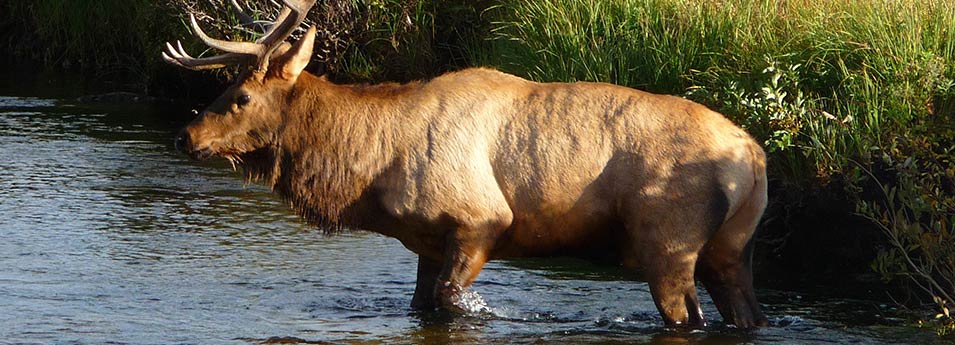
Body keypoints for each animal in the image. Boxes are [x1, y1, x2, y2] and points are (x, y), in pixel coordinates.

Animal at [166, 0, 768, 328]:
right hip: (730, 248)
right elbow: (421, 305)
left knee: (688, 318)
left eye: (241, 96)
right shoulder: (427, 241)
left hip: (668, 243)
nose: (184, 136)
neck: (372, 167)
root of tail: (754, 159)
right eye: (225, 87)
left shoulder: (482, 222)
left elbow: (452, 302)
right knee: (747, 314)